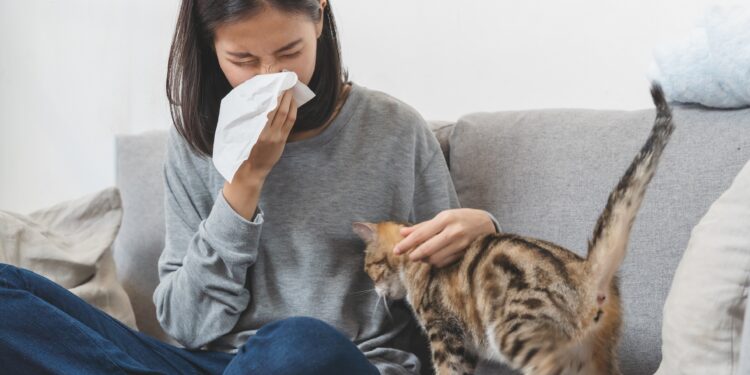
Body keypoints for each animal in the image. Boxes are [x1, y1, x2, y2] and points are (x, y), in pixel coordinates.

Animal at [352, 86, 676, 375]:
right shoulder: (464, 346)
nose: (375, 290)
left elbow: (446, 369)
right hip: (597, 352)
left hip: (515, 333)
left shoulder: (445, 331)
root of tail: (585, 271)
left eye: (369, 267)